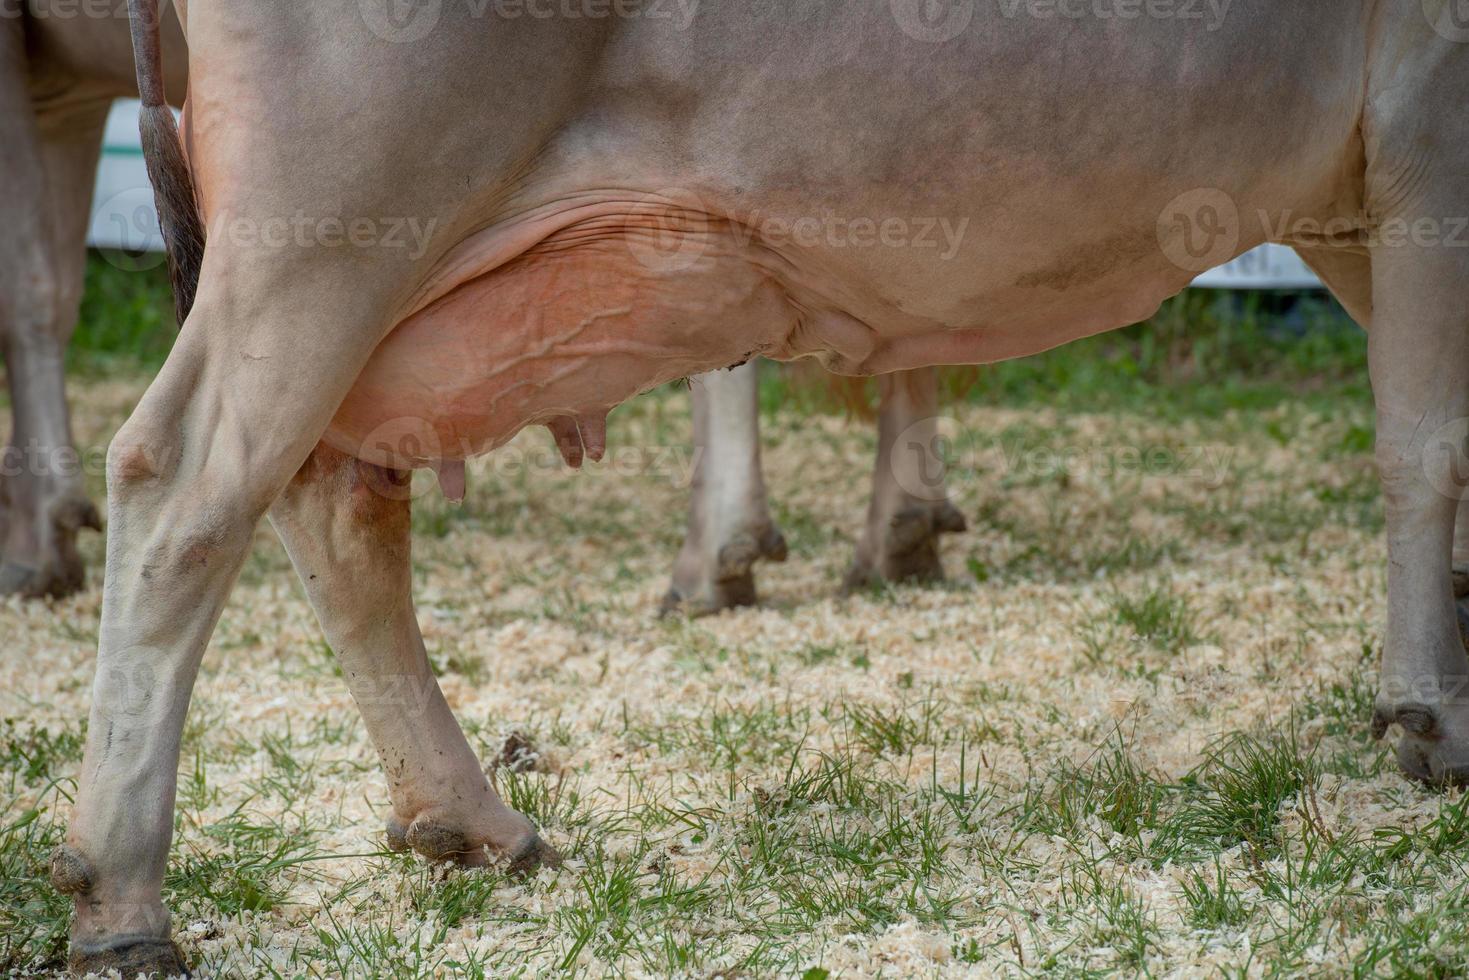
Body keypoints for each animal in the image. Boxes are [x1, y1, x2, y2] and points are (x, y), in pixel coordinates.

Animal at [45, 1, 1469, 975]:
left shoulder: (1350, 194)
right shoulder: (1424, 115)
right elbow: (1426, 438)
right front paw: (1433, 714)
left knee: (333, 498)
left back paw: (470, 816)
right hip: (333, 218)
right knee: (183, 476)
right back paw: (124, 902)